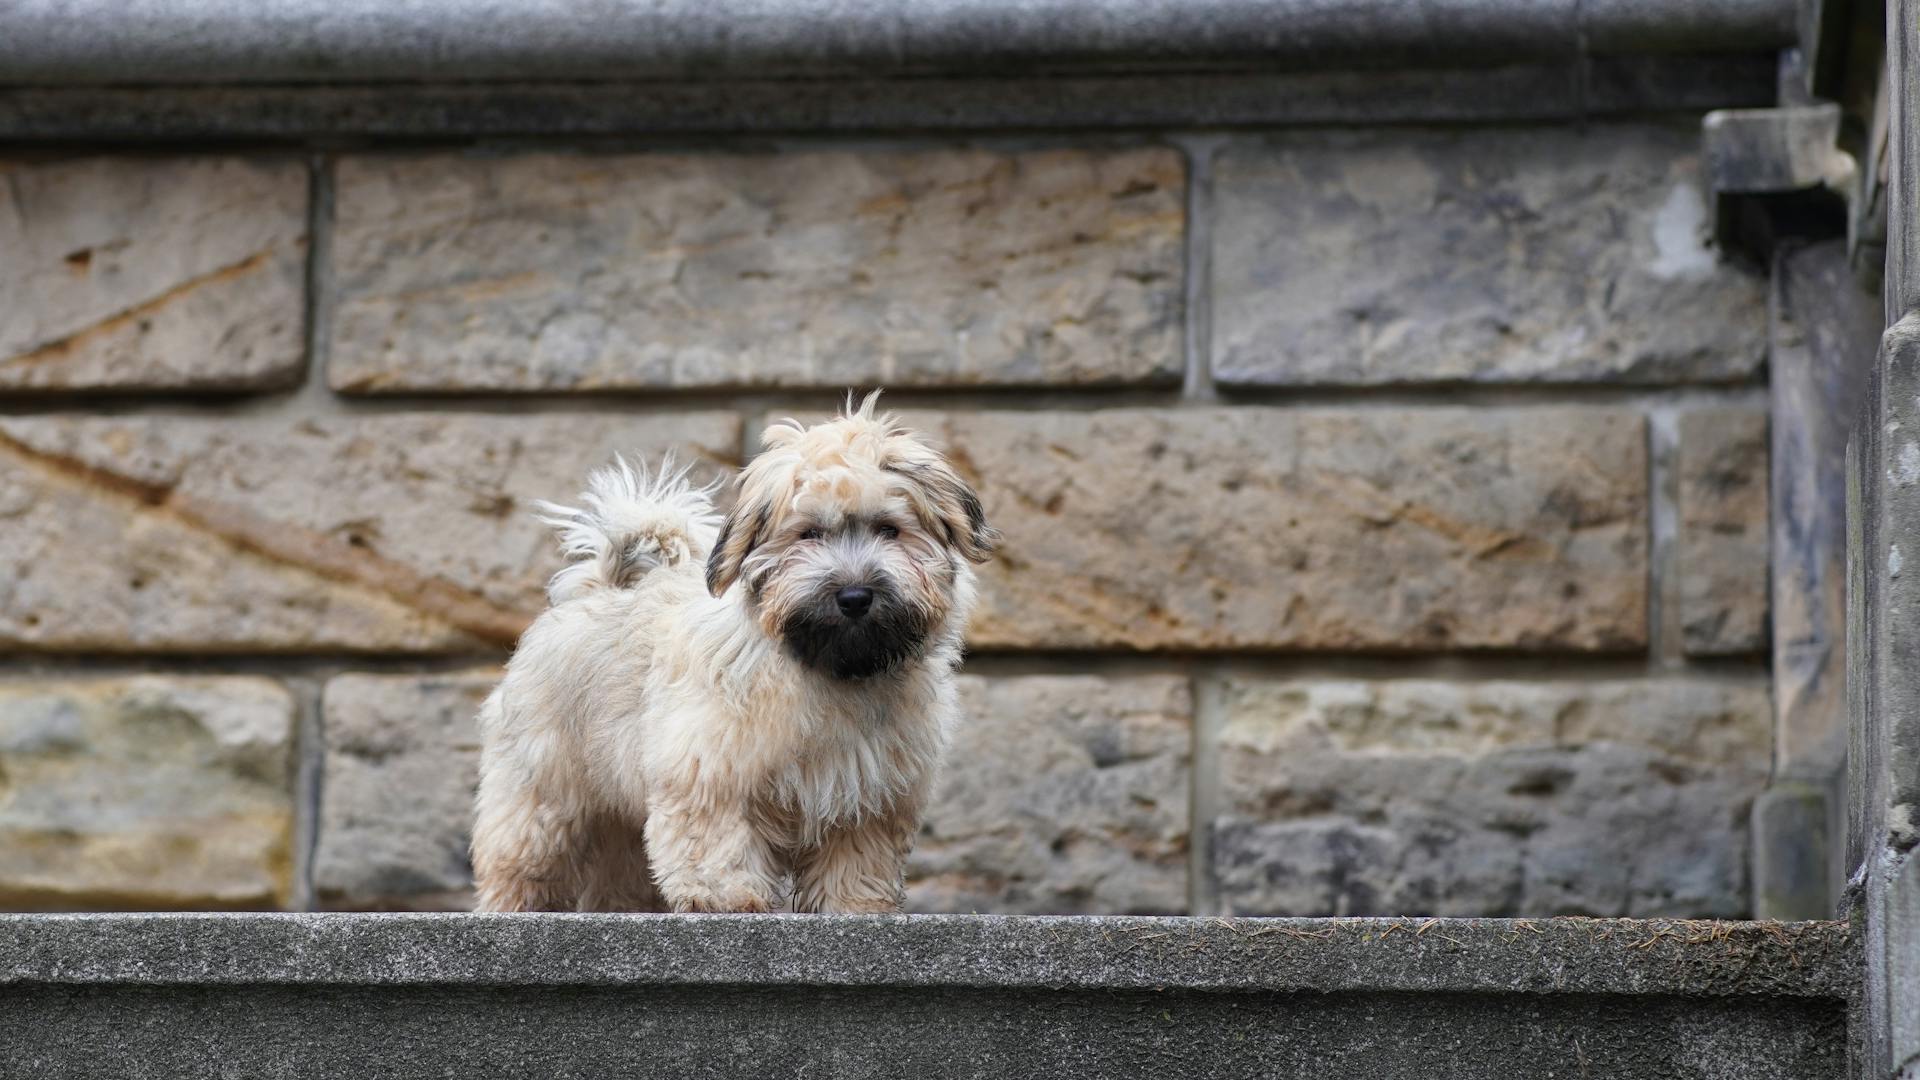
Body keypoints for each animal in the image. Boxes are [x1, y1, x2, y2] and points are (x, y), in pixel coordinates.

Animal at [470, 390, 998, 910]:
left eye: (889, 529)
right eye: (808, 533)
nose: (854, 596)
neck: (825, 667)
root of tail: (596, 590)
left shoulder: (869, 794)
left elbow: (856, 862)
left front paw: (854, 906)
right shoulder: (706, 769)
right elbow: (713, 838)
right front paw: (723, 897)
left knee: (619, 874)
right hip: (541, 793)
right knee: (522, 861)